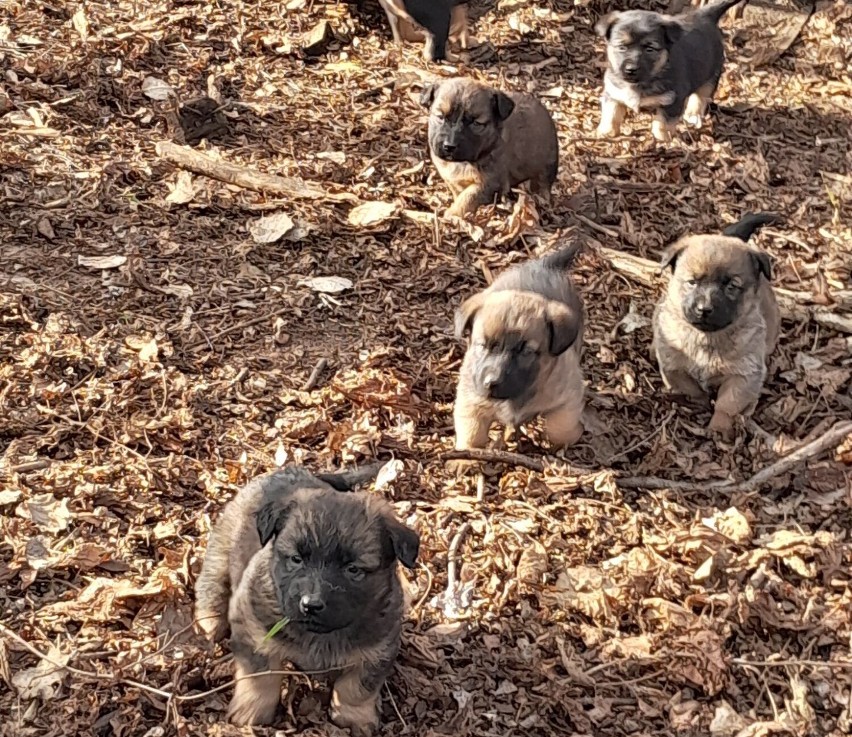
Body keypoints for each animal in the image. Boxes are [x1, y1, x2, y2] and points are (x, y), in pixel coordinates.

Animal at [194, 462, 420, 732]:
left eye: (353, 569)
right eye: (296, 559)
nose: (310, 605)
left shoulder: (379, 647)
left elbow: (357, 687)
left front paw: (354, 717)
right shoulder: (252, 626)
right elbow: (260, 676)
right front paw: (252, 711)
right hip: (221, 551)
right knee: (210, 586)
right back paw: (209, 622)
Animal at [420, 77, 560, 217]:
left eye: (476, 123)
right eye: (440, 117)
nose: (449, 146)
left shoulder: (491, 183)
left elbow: (468, 197)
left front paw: (453, 213)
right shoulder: (452, 179)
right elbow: (459, 193)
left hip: (544, 168)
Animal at [452, 244, 584, 468]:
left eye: (526, 352)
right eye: (482, 345)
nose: (491, 382)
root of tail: (543, 265)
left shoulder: (567, 396)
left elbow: (559, 429)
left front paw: (570, 437)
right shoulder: (471, 397)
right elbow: (472, 433)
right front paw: (465, 457)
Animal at [596, 0, 748, 142]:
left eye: (649, 49)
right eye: (621, 47)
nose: (631, 69)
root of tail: (704, 15)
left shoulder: (673, 99)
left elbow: (663, 121)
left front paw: (662, 137)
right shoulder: (613, 92)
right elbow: (611, 113)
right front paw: (606, 132)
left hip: (711, 72)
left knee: (702, 95)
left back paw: (693, 114)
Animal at [652, 214, 784, 442]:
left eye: (731, 286)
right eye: (692, 282)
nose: (704, 309)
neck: (706, 338)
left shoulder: (743, 375)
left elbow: (727, 405)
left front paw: (719, 428)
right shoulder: (673, 366)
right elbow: (691, 388)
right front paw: (701, 402)